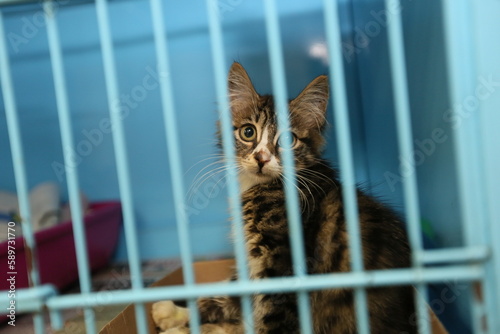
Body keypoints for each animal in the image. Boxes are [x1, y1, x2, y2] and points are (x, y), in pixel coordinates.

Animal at [151, 63, 414, 334]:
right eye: (248, 132)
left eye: (288, 140)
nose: (261, 158)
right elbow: (232, 291)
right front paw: (176, 313)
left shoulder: (284, 265)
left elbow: (269, 319)